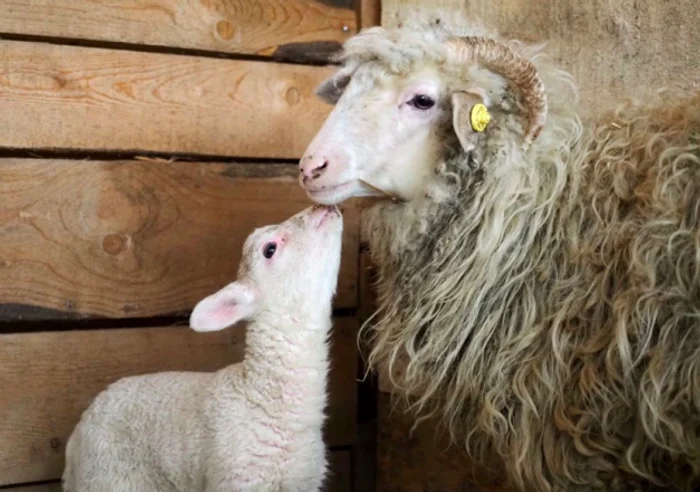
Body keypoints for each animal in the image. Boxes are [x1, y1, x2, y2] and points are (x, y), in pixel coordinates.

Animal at [61, 206, 344, 492]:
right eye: (270, 249)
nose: (324, 208)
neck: (259, 397)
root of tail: (74, 443)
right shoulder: (235, 480)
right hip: (111, 476)